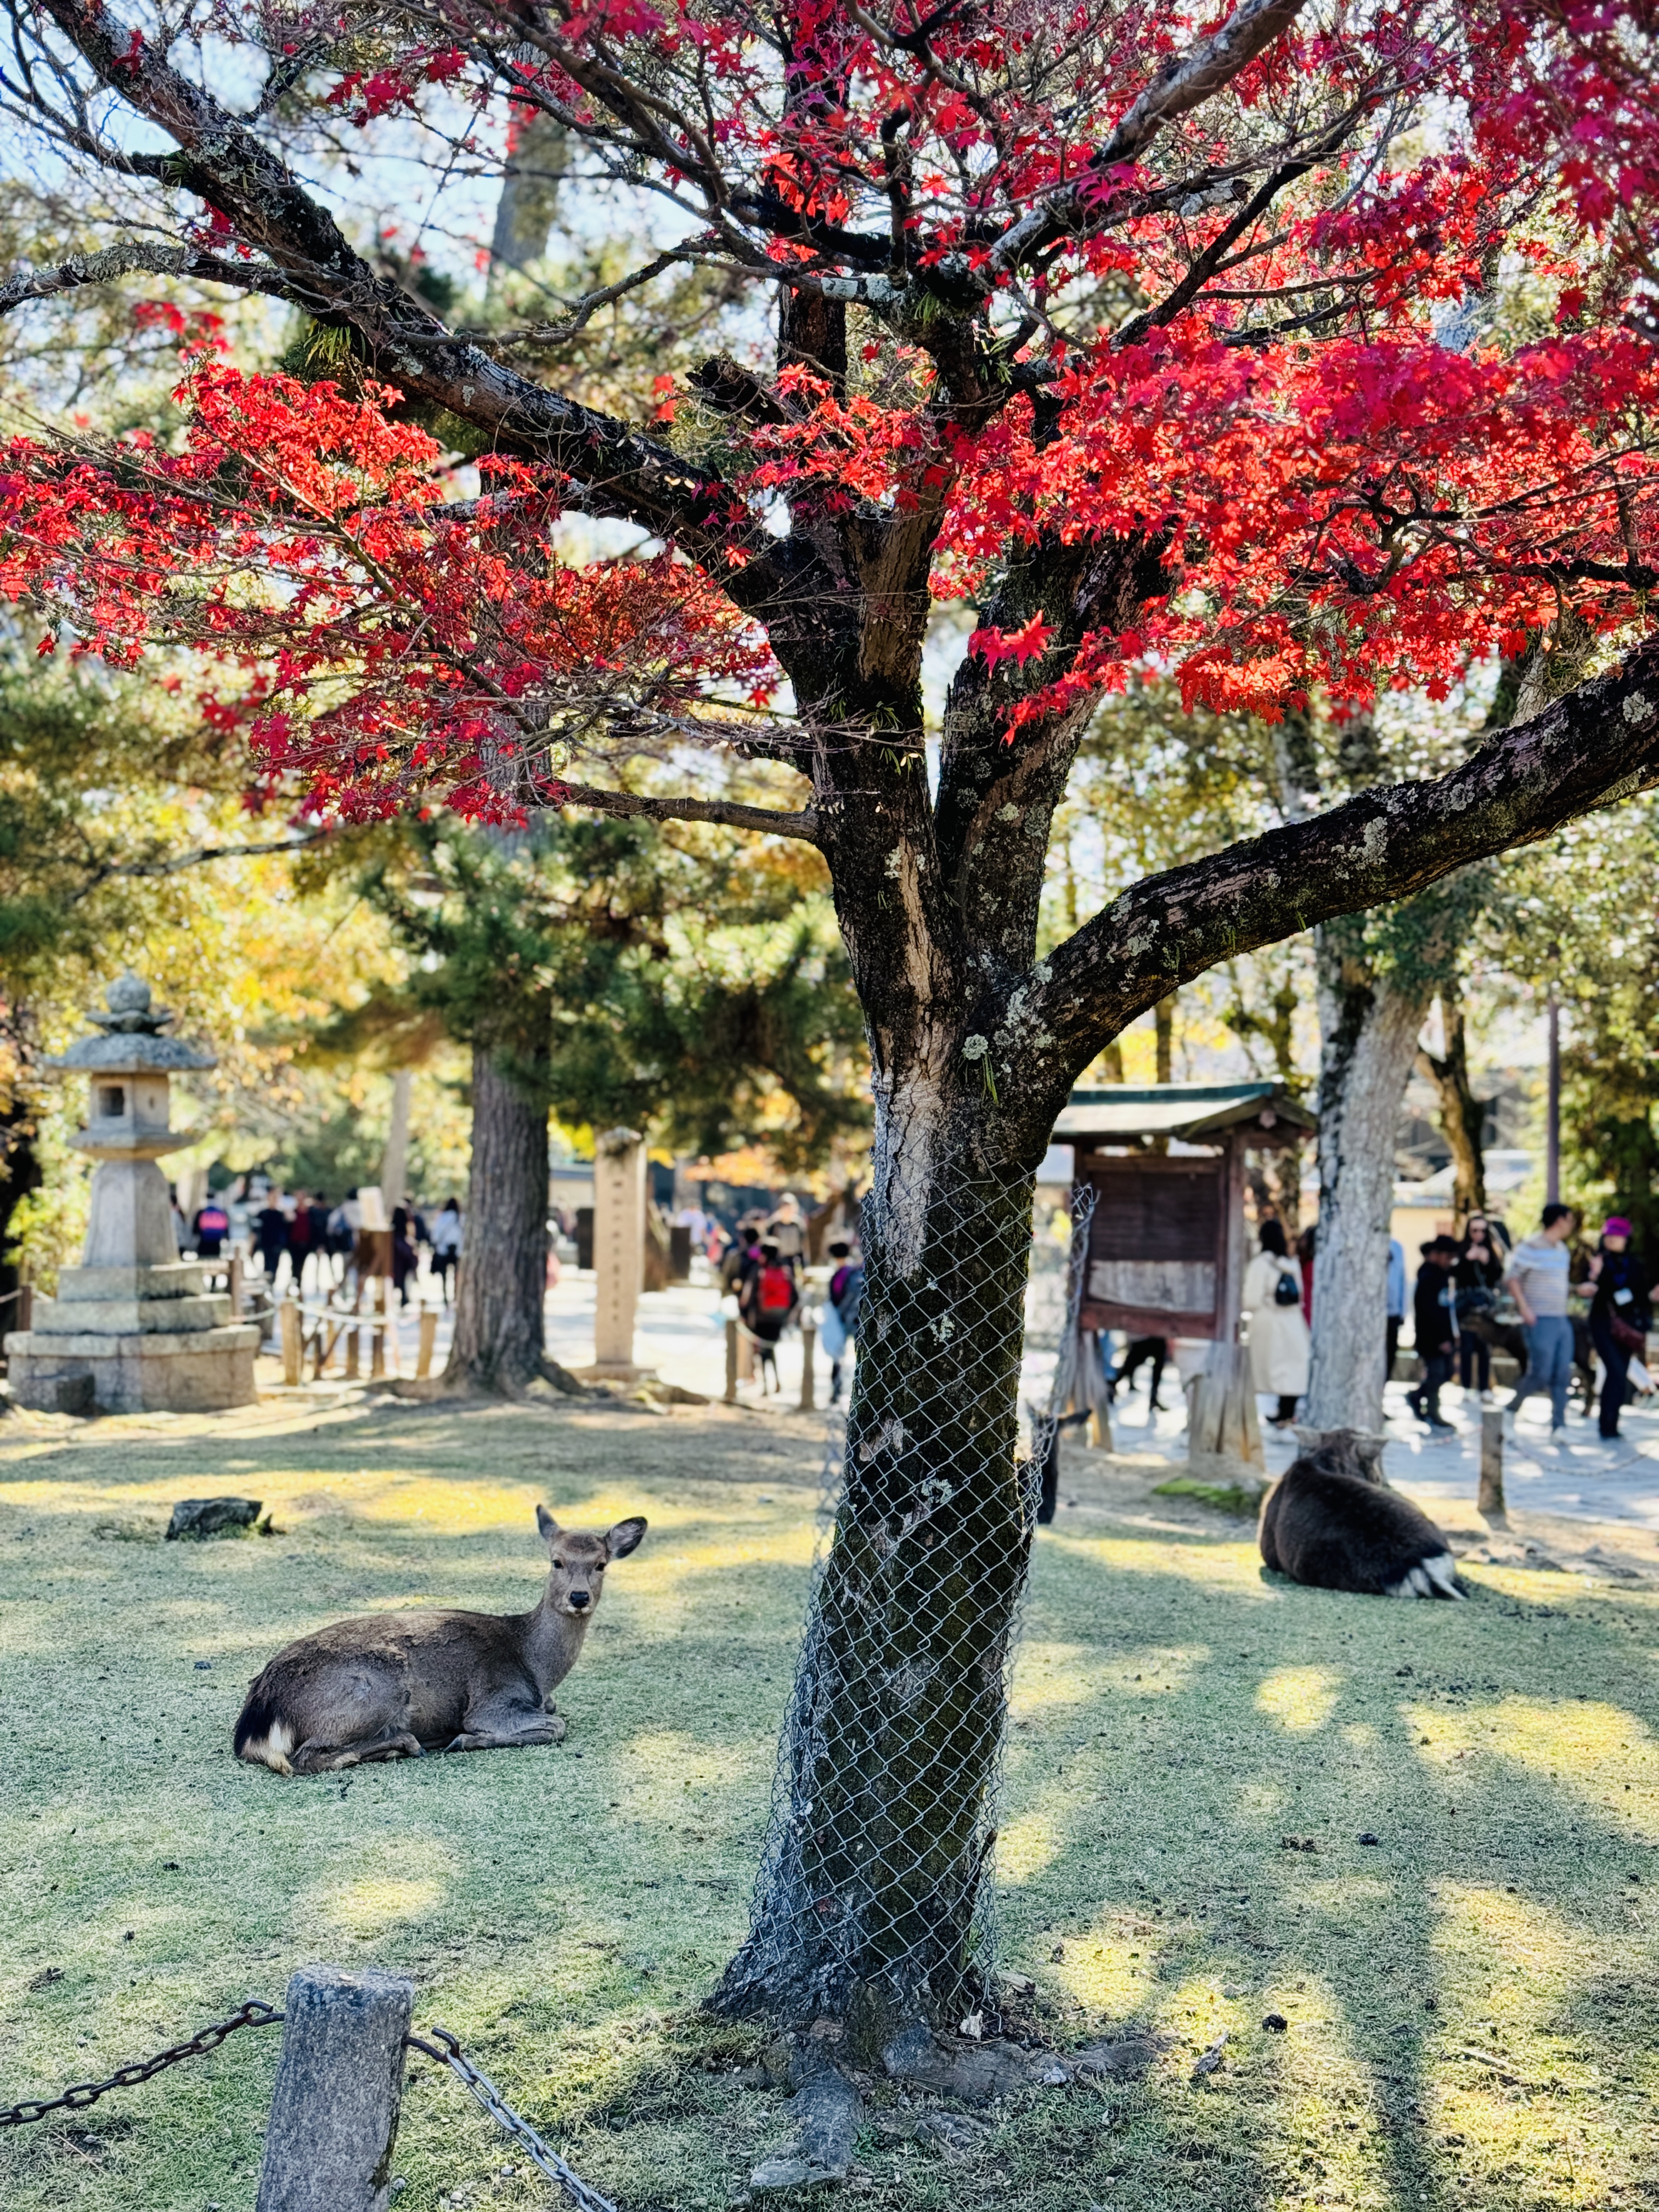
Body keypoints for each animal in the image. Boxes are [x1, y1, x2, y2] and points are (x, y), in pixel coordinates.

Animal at [233, 1507, 646, 1775]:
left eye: (601, 1564)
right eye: (556, 1561)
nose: (579, 1597)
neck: (536, 1667)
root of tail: (256, 1722)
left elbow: (555, 1713)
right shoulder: (493, 1701)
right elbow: (555, 1726)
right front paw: (465, 1739)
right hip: (375, 1691)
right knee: (304, 1758)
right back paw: (406, 1744)